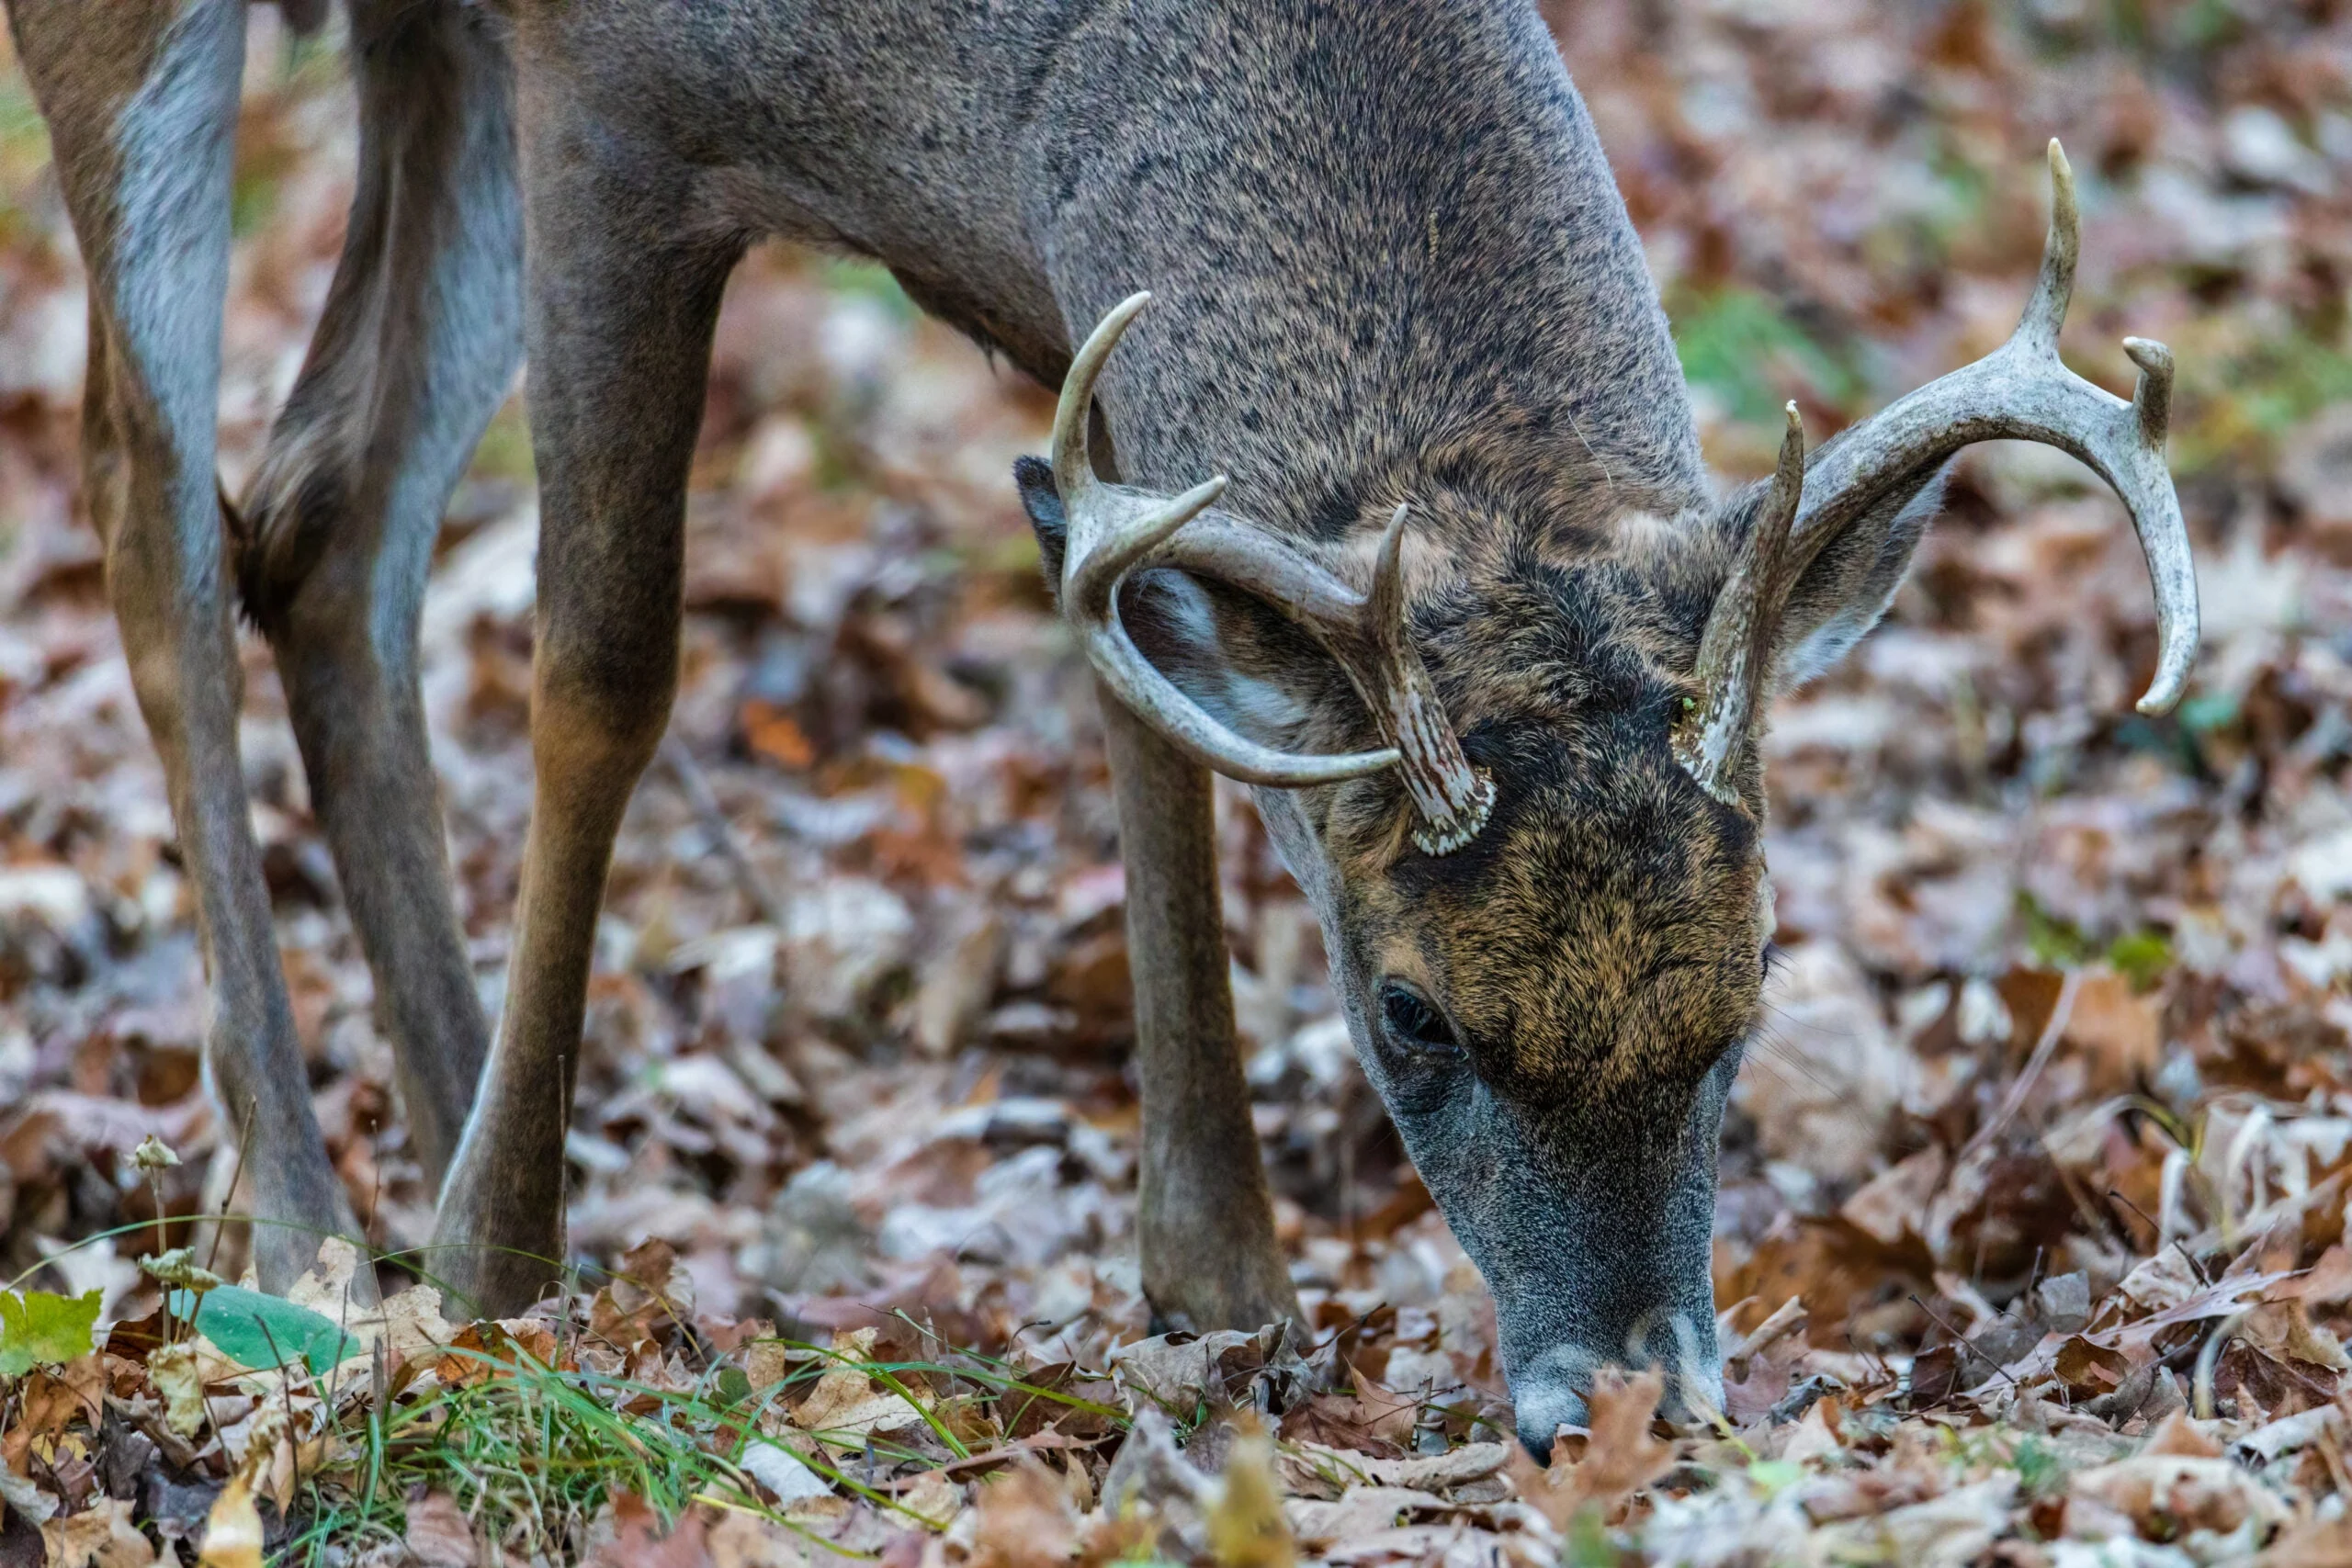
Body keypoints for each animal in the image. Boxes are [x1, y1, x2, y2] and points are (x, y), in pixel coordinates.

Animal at [9, 0, 2191, 1457]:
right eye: (1409, 1011)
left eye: (1751, 987)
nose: (1633, 1405)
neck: (981, 94)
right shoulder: (614, 97)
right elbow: (606, 662)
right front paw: (487, 1271)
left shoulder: (1076, 315)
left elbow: (1151, 692)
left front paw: (1220, 1282)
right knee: (148, 497)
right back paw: (315, 1229)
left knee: (324, 510)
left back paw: (455, 1112)